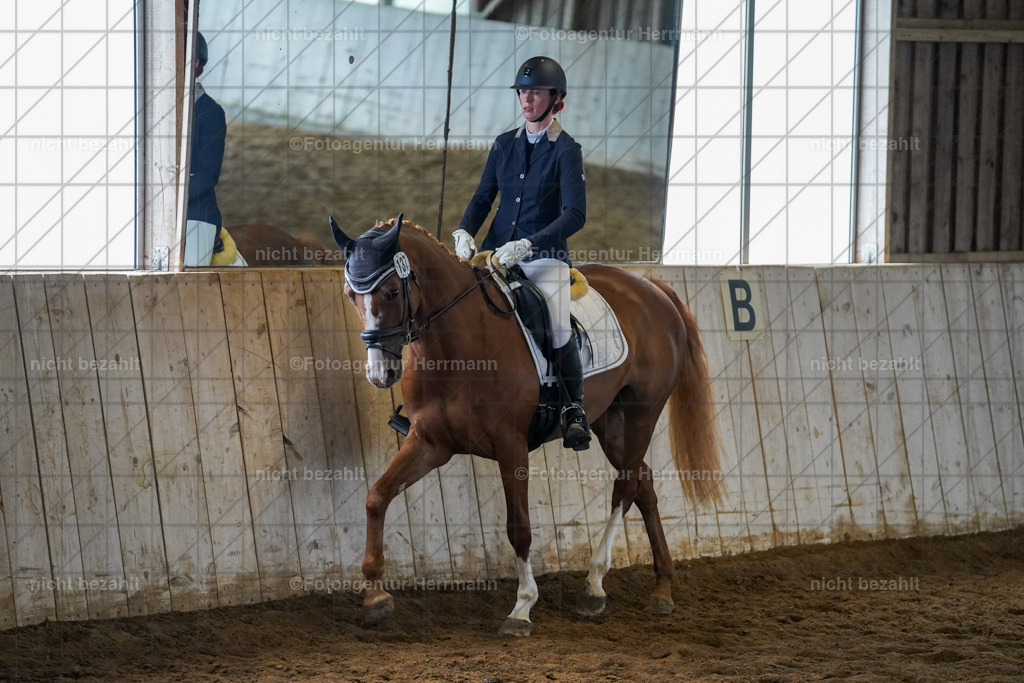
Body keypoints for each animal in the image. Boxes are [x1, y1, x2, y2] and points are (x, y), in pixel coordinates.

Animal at [330, 215, 724, 637]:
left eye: (390, 291)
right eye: (350, 295)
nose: (380, 373)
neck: (458, 344)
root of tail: (650, 287)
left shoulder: (511, 445)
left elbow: (518, 526)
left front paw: (521, 608)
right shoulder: (429, 443)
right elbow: (377, 497)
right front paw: (375, 597)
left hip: (641, 414)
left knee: (626, 487)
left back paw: (595, 585)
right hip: (611, 422)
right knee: (643, 484)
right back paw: (661, 588)